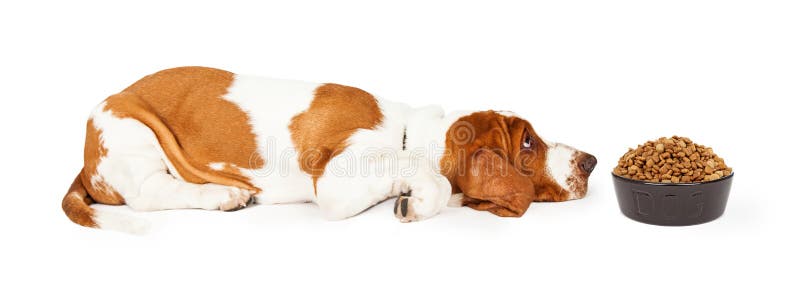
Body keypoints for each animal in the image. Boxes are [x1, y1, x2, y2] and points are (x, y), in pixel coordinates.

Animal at [61, 67, 592, 234]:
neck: (407, 130)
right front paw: (420, 201)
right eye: (528, 140)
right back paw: (223, 195)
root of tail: (84, 160)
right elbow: (431, 179)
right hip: (133, 130)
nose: (590, 161)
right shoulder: (336, 184)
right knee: (149, 193)